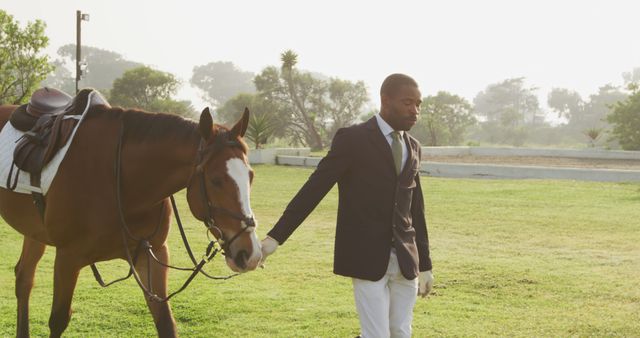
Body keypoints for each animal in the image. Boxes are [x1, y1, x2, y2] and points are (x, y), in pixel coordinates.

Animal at [0, 103, 262, 338]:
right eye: (216, 180)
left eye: (250, 176)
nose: (250, 253)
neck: (123, 181)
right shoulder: (67, 258)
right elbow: (58, 321)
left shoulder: (151, 254)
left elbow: (166, 322)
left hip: (35, 233)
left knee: (24, 278)